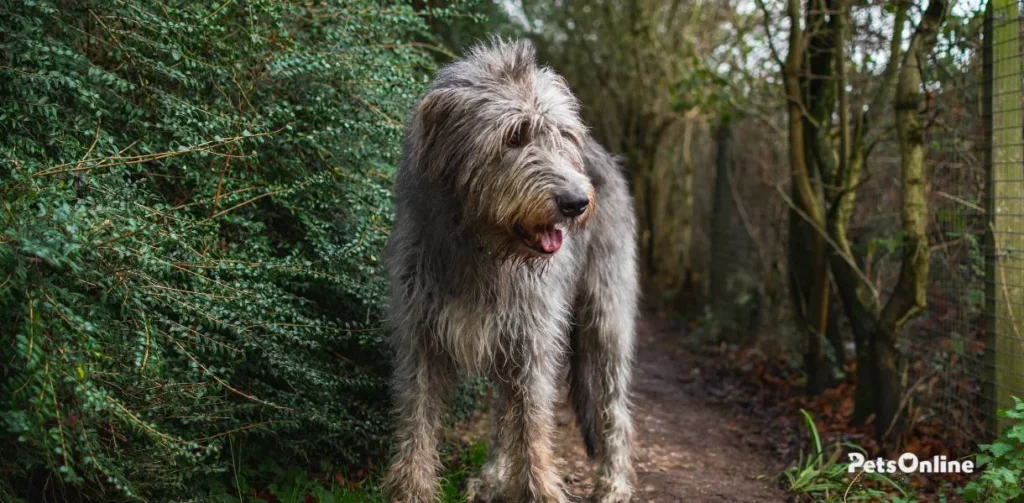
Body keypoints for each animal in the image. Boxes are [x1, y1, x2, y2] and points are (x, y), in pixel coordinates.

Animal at [382, 39, 634, 503]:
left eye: (563, 136)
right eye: (514, 136)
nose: (576, 202)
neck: (482, 250)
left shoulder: (533, 337)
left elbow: (533, 427)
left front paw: (541, 491)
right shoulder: (421, 334)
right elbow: (417, 418)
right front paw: (412, 491)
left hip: (606, 315)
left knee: (613, 406)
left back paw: (614, 485)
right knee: (503, 410)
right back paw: (495, 475)